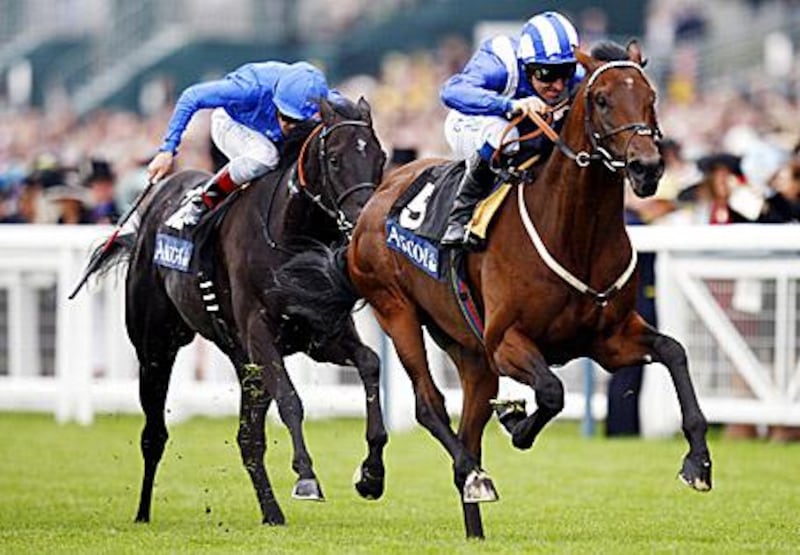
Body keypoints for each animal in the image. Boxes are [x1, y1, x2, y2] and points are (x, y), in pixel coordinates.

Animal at [78, 97, 388, 528]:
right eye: (336, 159)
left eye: (381, 158)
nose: (363, 221)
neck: (291, 234)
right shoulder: (259, 333)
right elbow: (292, 400)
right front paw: (306, 477)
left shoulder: (321, 335)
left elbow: (371, 364)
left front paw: (371, 475)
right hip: (155, 348)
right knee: (154, 434)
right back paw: (142, 513)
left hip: (244, 363)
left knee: (248, 440)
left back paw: (272, 513)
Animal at [274, 45, 712, 540]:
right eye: (601, 99)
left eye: (651, 98)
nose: (647, 166)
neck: (575, 233)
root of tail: (370, 205)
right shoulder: (506, 341)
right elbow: (552, 391)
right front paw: (517, 423)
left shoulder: (610, 339)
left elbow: (675, 351)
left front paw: (698, 462)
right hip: (397, 311)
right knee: (429, 405)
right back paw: (447, 477)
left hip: (468, 349)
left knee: (468, 429)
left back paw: (473, 519)